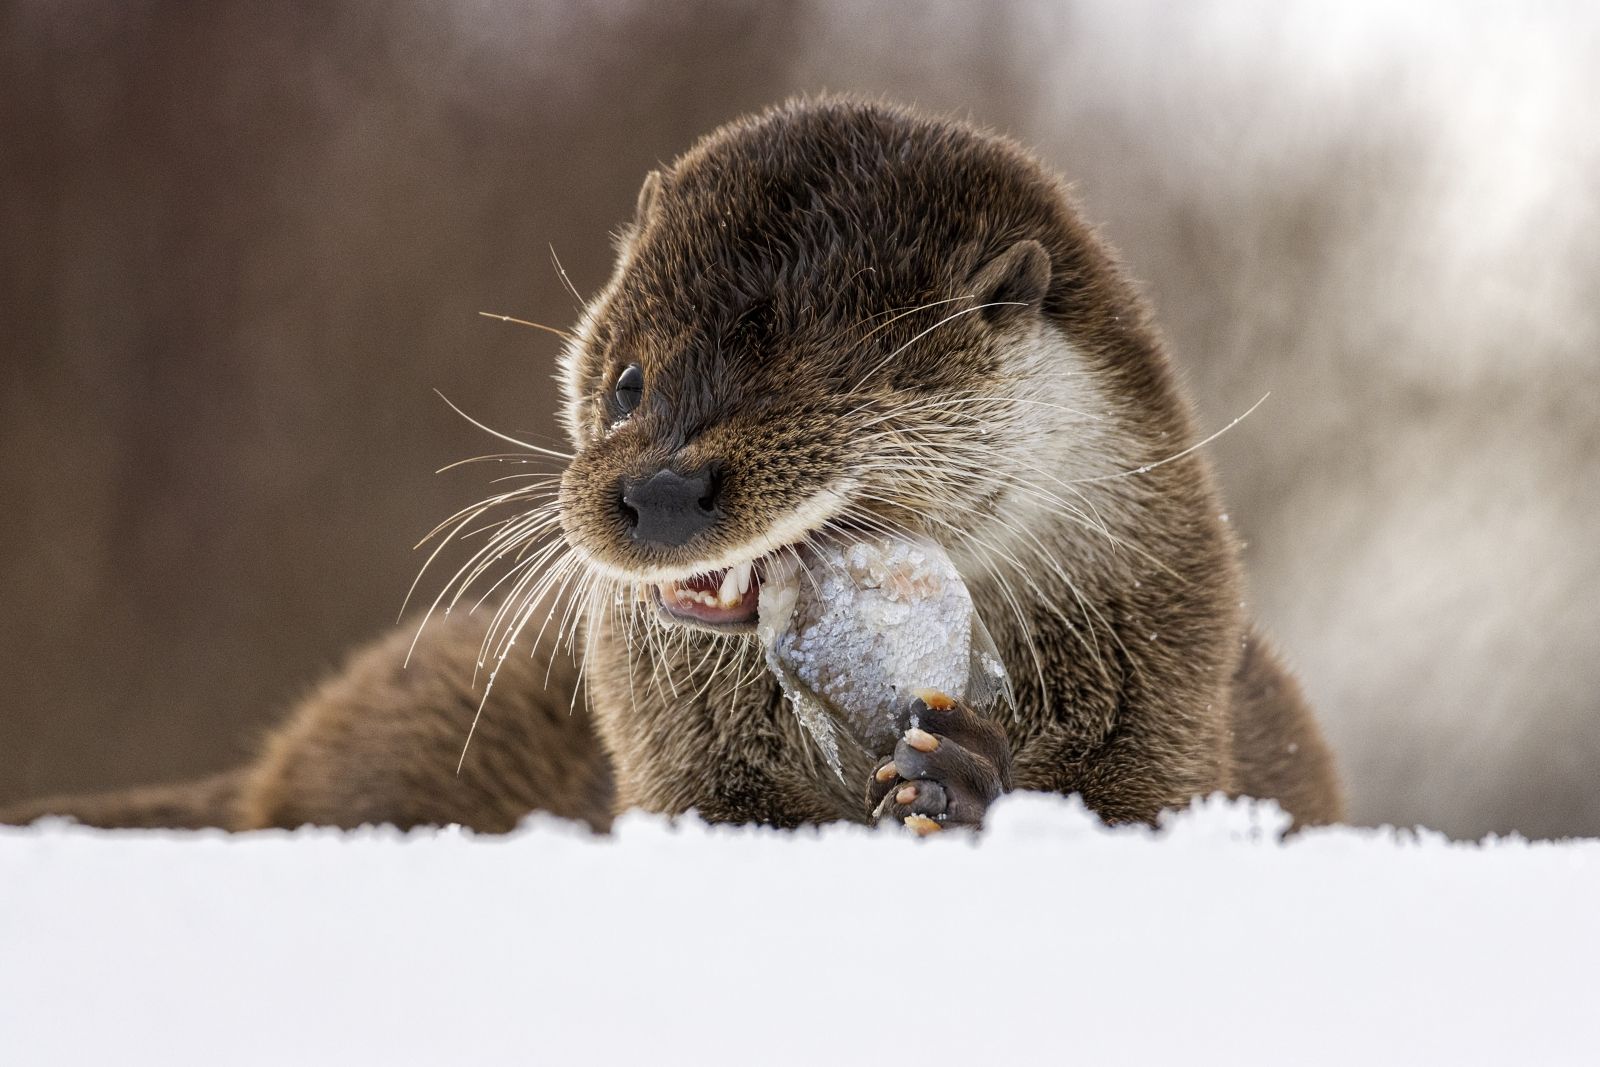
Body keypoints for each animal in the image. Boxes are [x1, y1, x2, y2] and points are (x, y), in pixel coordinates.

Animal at [3, 97, 1337, 831]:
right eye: (629, 381)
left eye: (818, 385)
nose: (652, 488)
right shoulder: (676, 772)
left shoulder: (1175, 714)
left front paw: (964, 781)